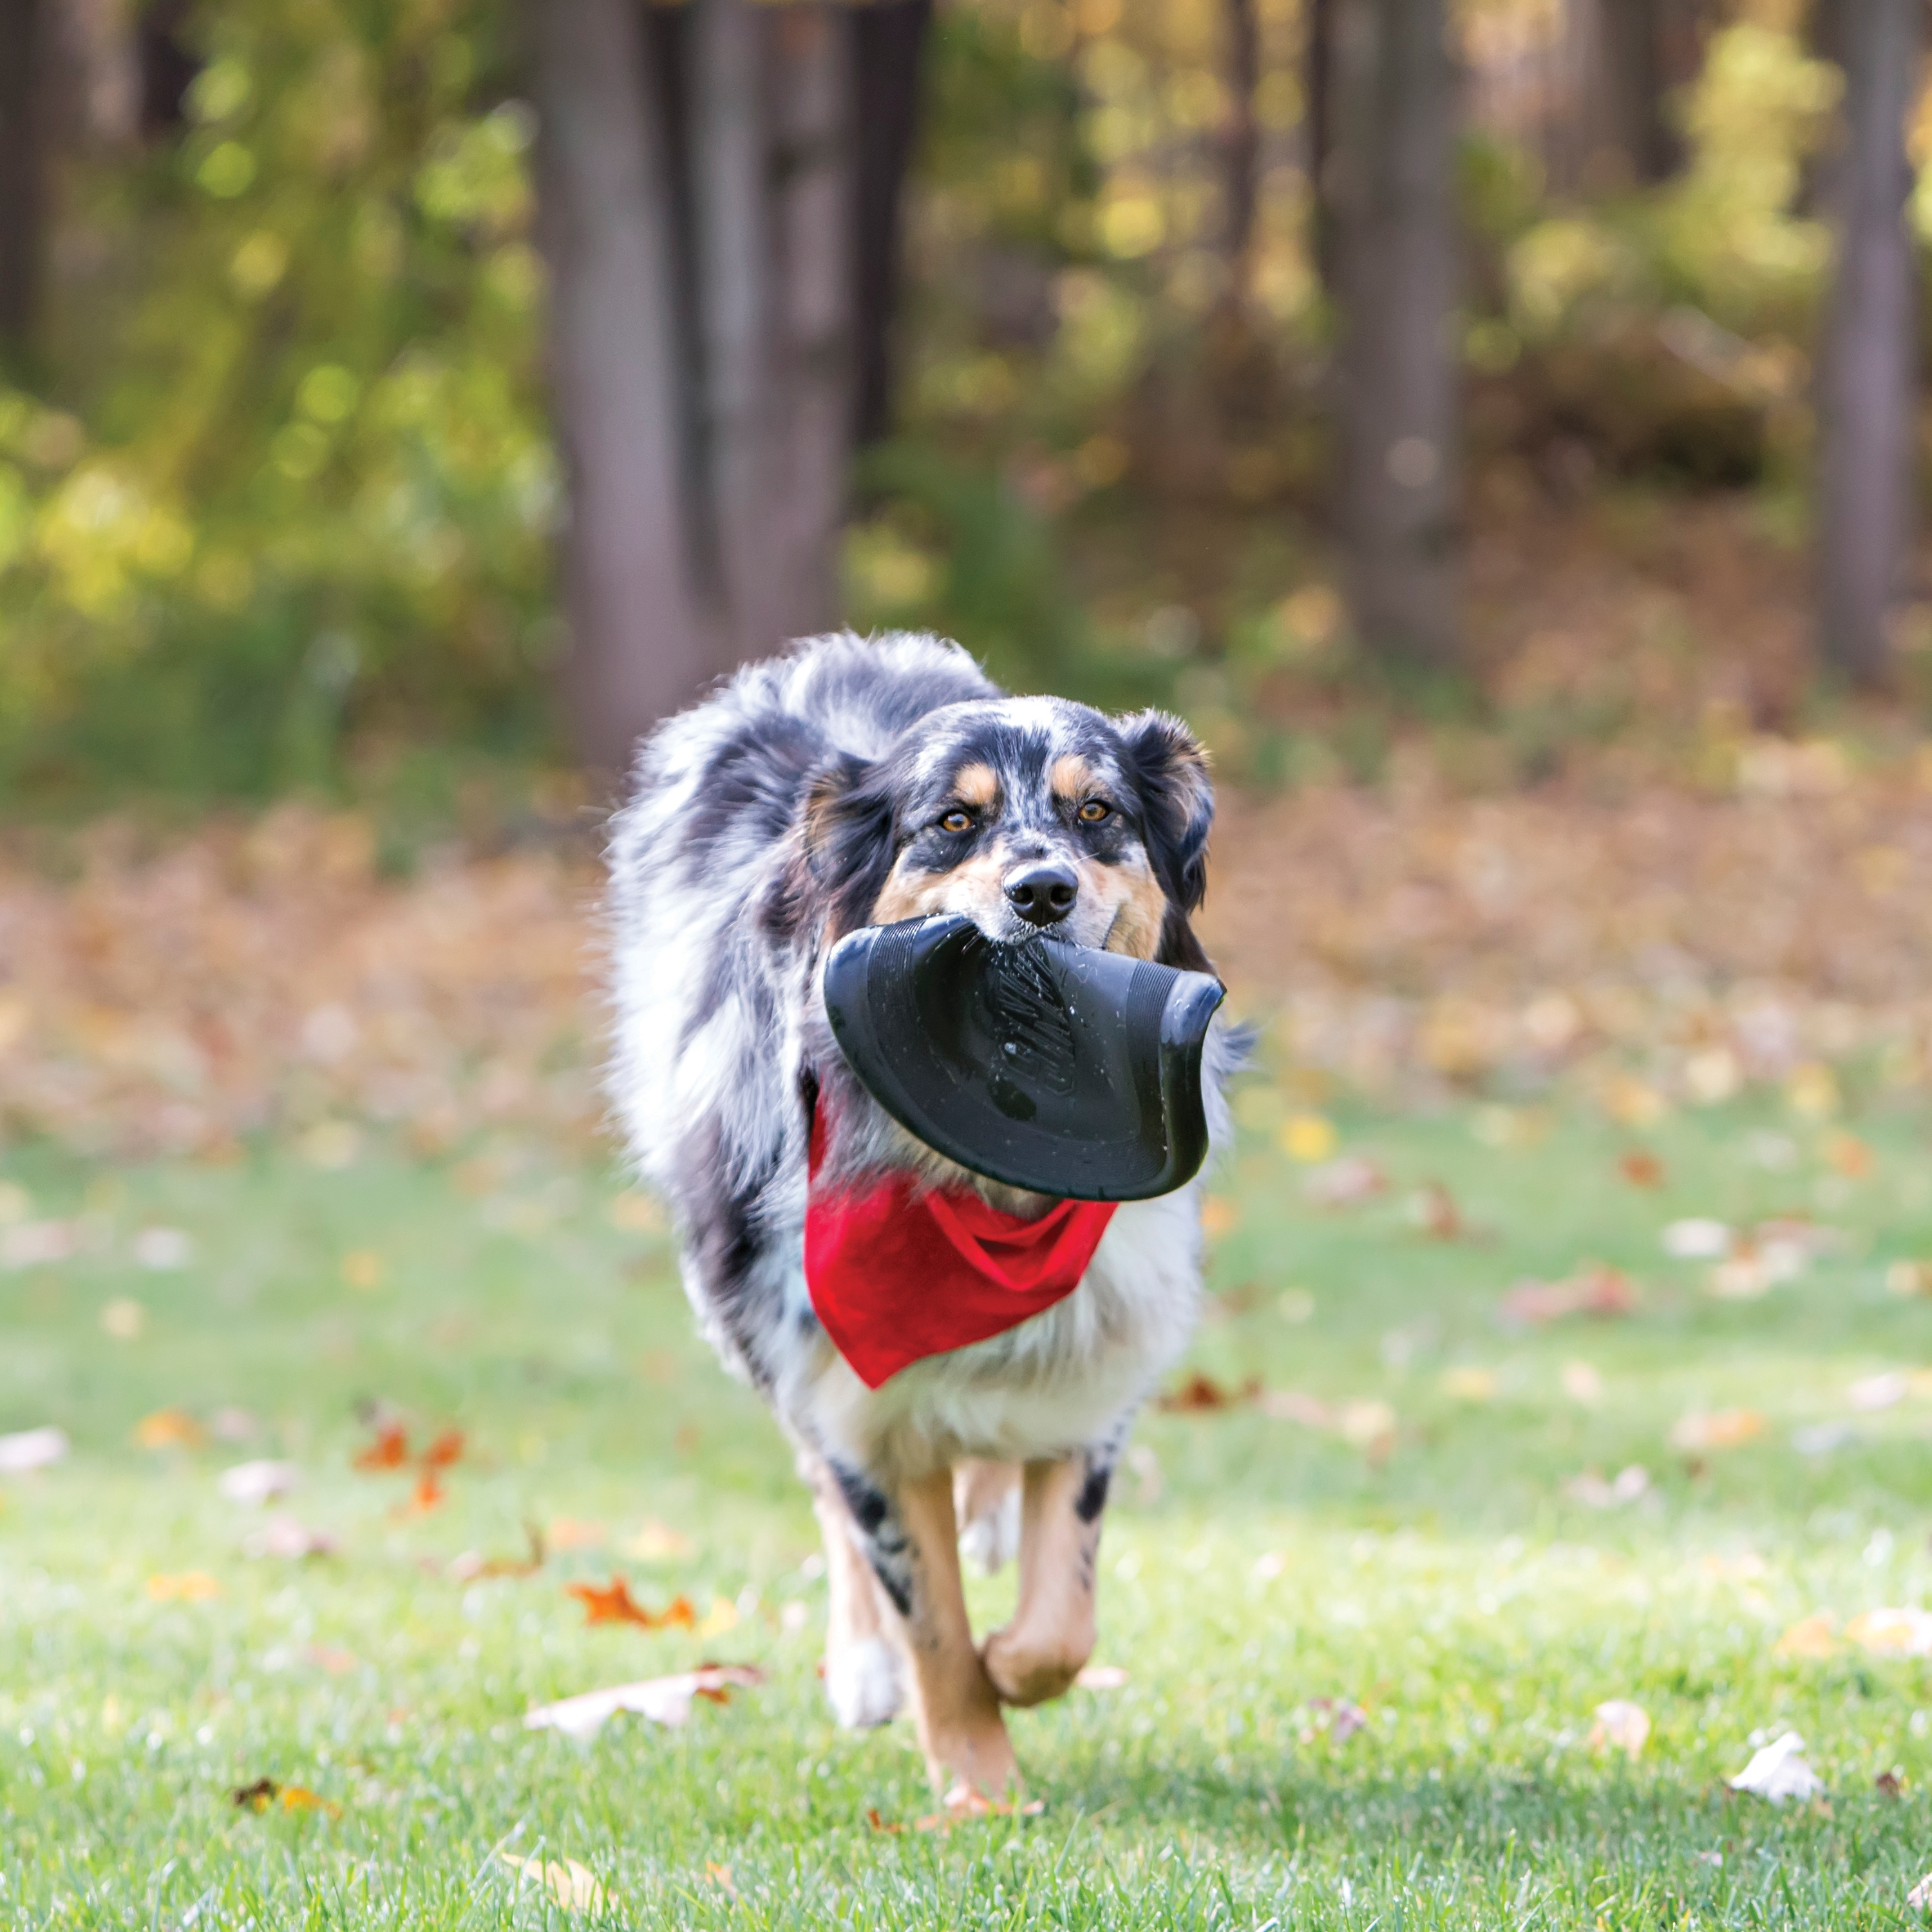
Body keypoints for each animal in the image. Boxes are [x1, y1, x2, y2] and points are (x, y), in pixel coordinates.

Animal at [607, 634, 1236, 1793]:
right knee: (824, 1487)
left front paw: (1015, 1662)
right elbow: (930, 1622)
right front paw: (980, 1788)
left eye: (1097, 813)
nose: (1043, 890)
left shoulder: (1103, 1349)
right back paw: (863, 1666)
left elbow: (1060, 1619)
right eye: (952, 822)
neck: (985, 1197)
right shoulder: (849, 1391)